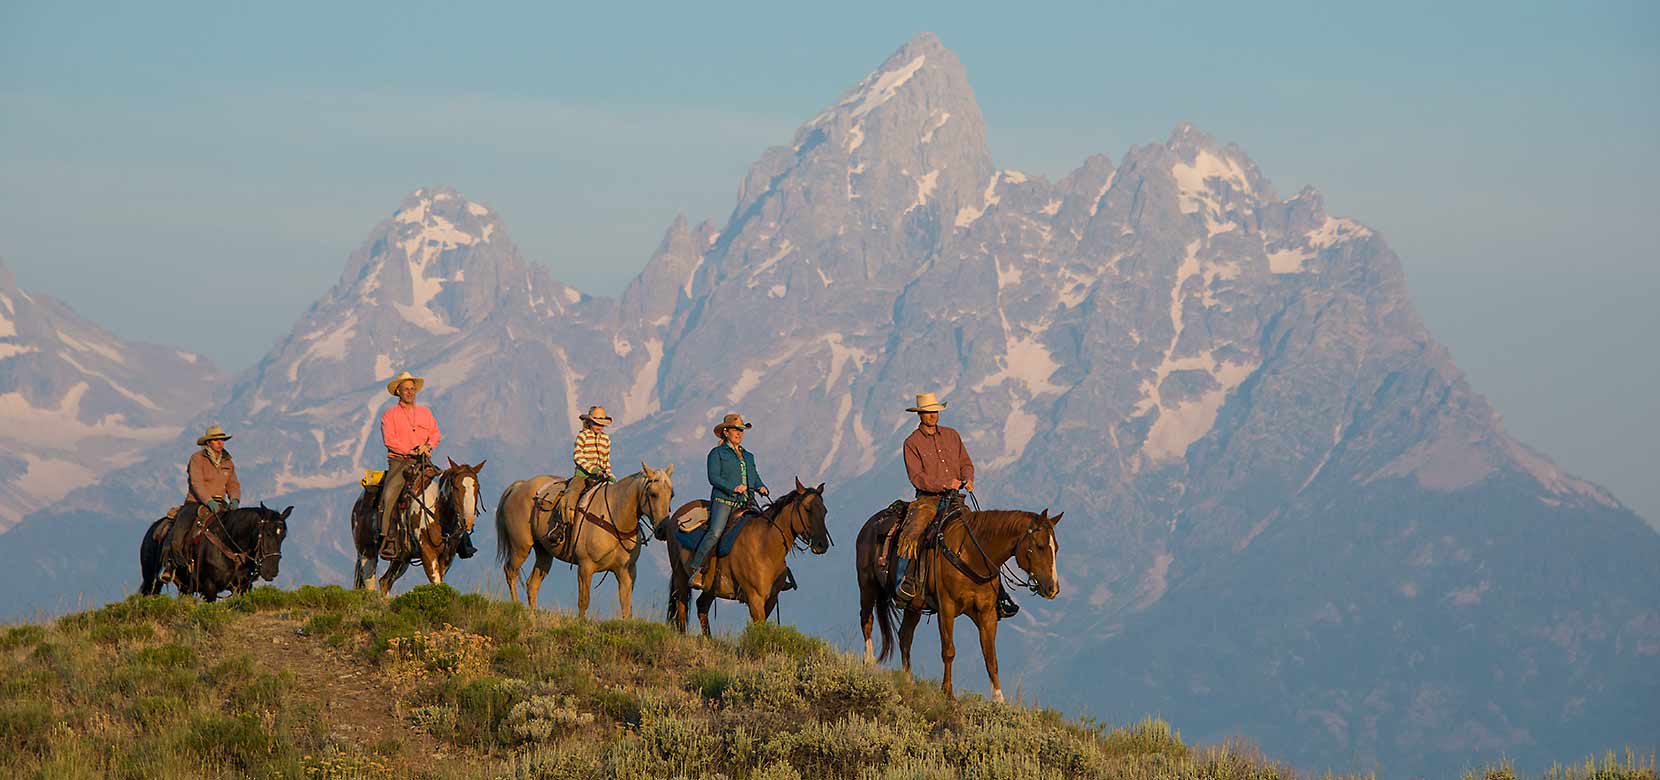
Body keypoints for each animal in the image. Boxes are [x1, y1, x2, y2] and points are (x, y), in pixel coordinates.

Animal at [139, 501, 292, 600]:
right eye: (267, 533)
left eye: (283, 536)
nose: (271, 571)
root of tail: (153, 528)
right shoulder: (209, 588)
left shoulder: (243, 588)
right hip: (151, 580)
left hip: (185, 587)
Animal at [348, 454, 484, 594]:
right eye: (456, 487)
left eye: (477, 488)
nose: (467, 522)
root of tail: (359, 503)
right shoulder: (427, 551)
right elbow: (437, 583)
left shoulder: (447, 557)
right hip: (366, 553)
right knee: (370, 585)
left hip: (401, 559)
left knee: (385, 581)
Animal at [491, 464, 673, 620]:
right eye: (653, 494)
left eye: (671, 495)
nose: (662, 529)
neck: (615, 517)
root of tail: (520, 486)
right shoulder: (586, 567)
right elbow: (583, 602)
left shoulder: (627, 572)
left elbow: (626, 607)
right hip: (520, 548)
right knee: (510, 572)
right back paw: (516, 607)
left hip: (544, 553)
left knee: (532, 584)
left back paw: (533, 616)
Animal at [664, 477, 836, 637]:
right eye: (807, 509)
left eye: (825, 511)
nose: (822, 544)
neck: (765, 547)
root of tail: (677, 515)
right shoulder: (755, 599)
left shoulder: (771, 599)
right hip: (680, 577)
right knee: (681, 612)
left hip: (710, 588)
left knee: (701, 607)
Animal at [856, 501, 1062, 703]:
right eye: (1040, 546)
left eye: (1056, 548)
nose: (1052, 589)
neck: (972, 554)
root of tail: (871, 523)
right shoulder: (946, 608)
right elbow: (949, 651)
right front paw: (948, 693)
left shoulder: (986, 613)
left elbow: (990, 657)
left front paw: (998, 700)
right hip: (867, 586)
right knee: (867, 621)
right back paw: (869, 663)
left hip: (913, 607)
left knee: (905, 636)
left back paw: (908, 681)